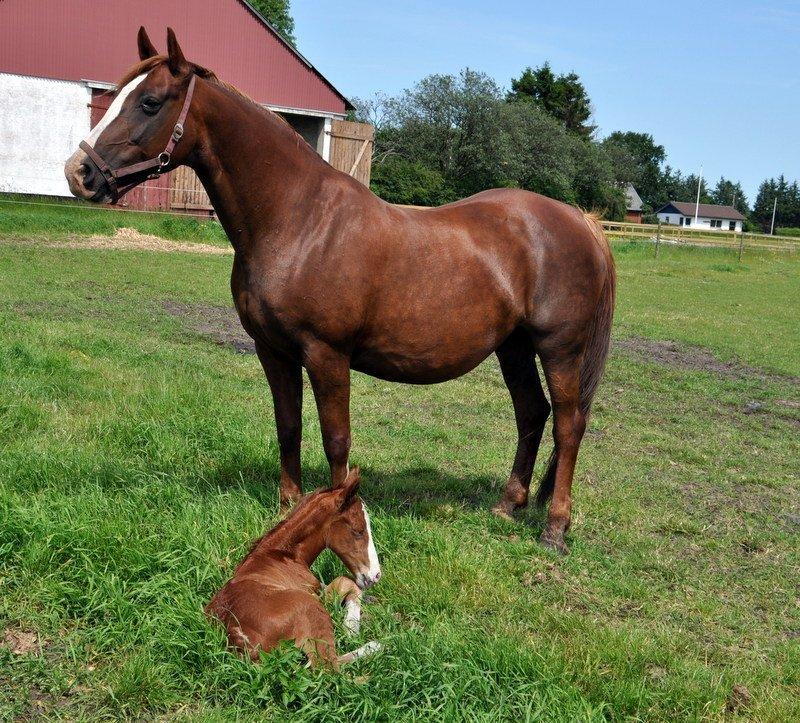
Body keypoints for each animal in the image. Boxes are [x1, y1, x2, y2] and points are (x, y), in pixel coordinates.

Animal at [67, 25, 620, 552]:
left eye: (149, 101)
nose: (80, 173)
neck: (299, 221)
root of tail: (581, 221)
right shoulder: (273, 350)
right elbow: (288, 425)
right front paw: (288, 509)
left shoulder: (326, 353)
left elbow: (336, 438)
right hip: (514, 346)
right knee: (532, 413)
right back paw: (507, 506)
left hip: (559, 349)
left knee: (568, 425)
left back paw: (554, 529)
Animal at [205, 470, 382, 668]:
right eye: (358, 531)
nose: (376, 575)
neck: (282, 555)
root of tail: (238, 637)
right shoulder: (318, 595)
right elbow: (347, 581)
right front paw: (351, 626)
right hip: (312, 608)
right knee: (328, 666)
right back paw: (374, 645)